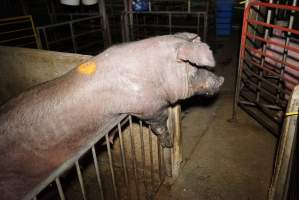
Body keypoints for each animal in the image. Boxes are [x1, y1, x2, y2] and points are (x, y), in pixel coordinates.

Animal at [0, 32, 224, 199]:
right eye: (195, 67)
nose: (221, 80)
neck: (158, 73)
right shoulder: (146, 106)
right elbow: (158, 123)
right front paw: (167, 143)